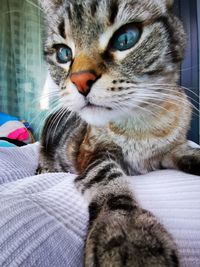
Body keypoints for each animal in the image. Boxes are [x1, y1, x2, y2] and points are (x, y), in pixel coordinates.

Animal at [38, 1, 200, 266]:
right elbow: (109, 180)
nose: (80, 80)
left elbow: (189, 152)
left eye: (125, 38)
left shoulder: (171, 150)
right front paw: (128, 233)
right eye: (63, 54)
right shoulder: (94, 152)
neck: (142, 126)